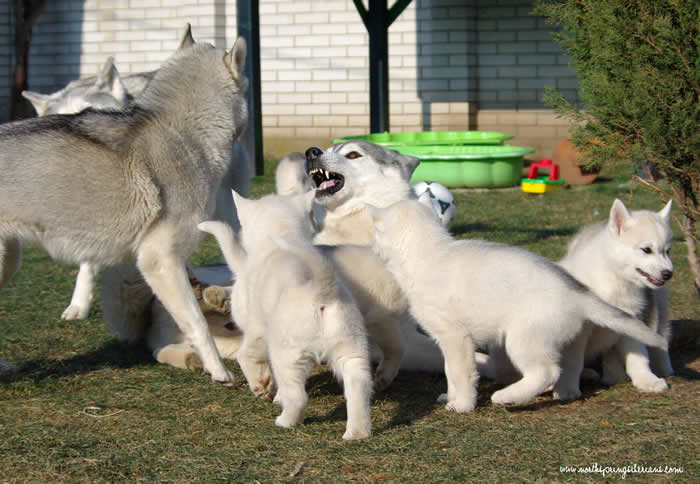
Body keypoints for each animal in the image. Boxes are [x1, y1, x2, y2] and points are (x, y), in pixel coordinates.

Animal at [197, 191, 372, 440]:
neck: (281, 234)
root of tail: (322, 289)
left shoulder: (258, 332)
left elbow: (247, 356)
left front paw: (261, 387)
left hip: (287, 354)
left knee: (298, 396)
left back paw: (285, 421)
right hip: (352, 351)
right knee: (358, 389)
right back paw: (357, 433)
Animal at [366, 199, 668, 410]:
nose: (370, 247)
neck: (426, 254)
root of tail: (576, 294)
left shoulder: (455, 337)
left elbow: (459, 372)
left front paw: (462, 404)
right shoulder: (449, 341)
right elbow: (449, 372)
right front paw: (449, 397)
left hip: (521, 341)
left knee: (546, 372)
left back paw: (508, 397)